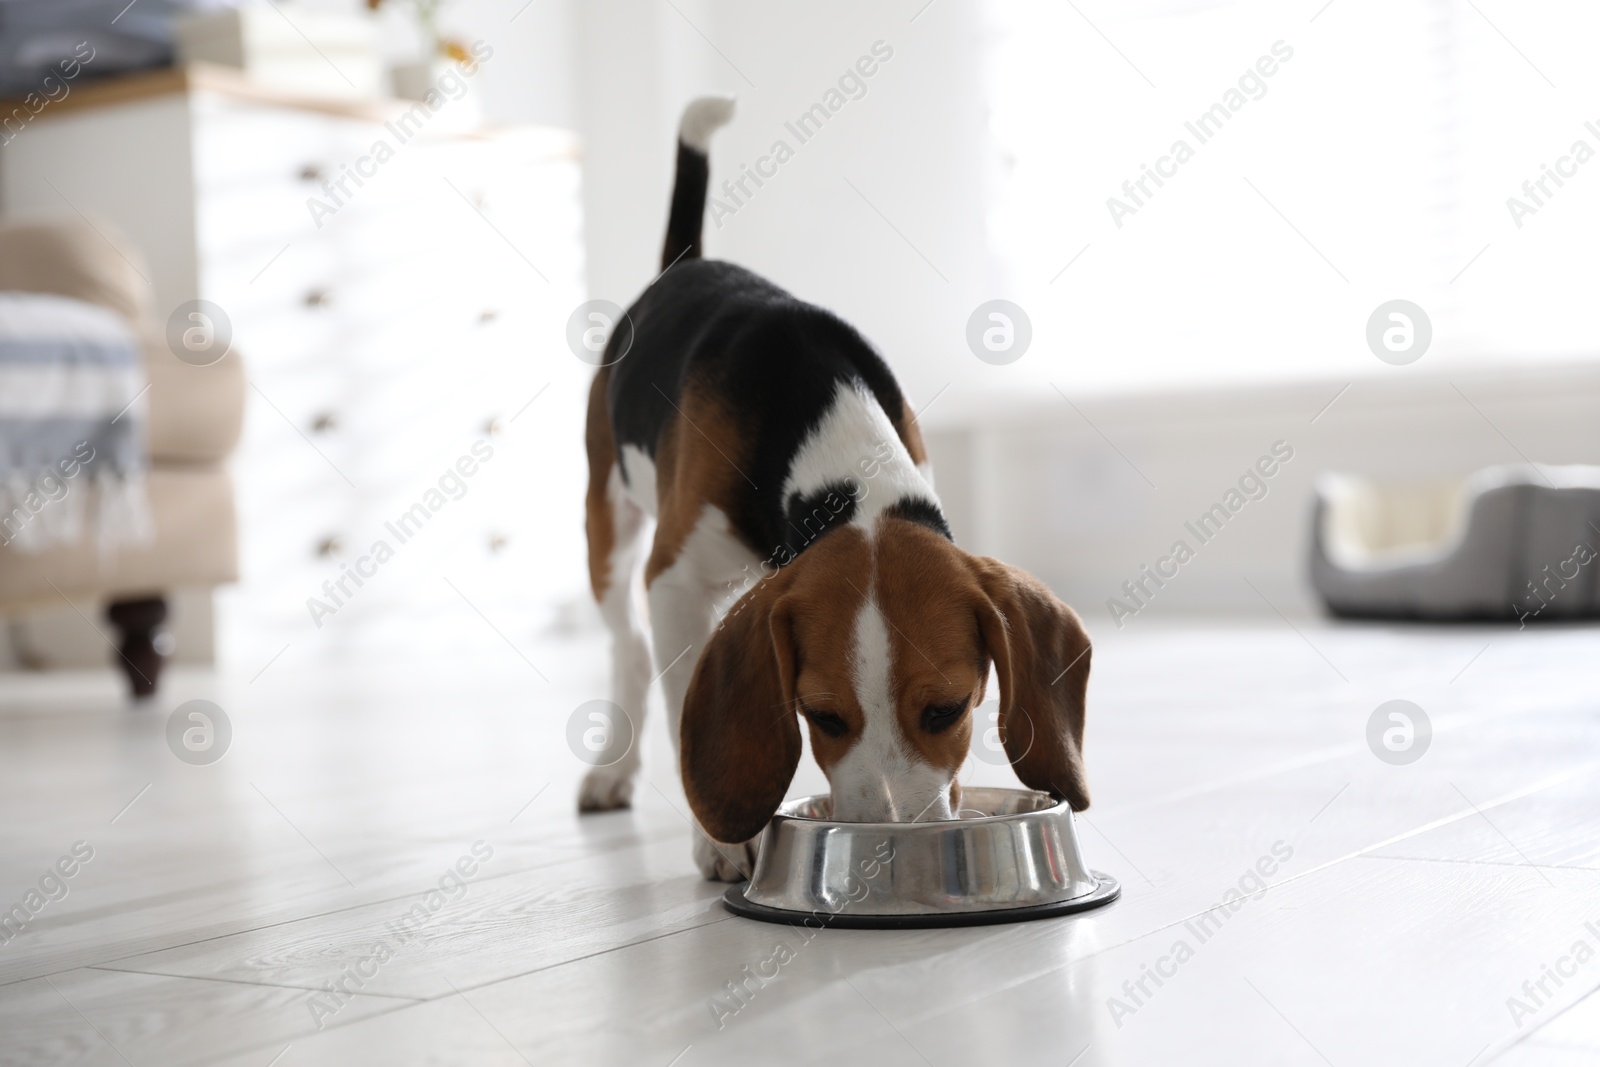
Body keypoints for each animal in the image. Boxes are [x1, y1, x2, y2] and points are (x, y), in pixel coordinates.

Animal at [576, 97, 1088, 883]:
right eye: (821, 716)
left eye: (948, 710)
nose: (889, 844)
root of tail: (687, 264)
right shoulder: (676, 583)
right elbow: (679, 690)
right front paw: (721, 842)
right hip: (608, 524)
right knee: (629, 649)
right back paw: (613, 770)